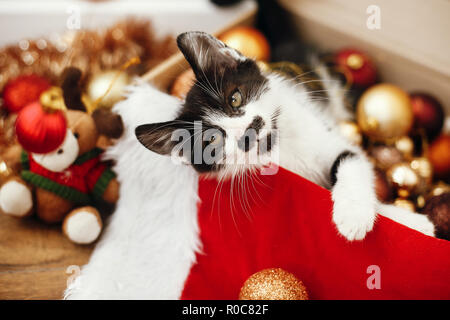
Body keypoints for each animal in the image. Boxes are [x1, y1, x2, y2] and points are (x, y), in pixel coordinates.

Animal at [135, 31, 434, 240]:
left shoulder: (328, 137)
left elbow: (351, 161)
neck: (279, 145)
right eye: (211, 141)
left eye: (235, 98)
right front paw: (412, 221)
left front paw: (356, 215)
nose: (249, 129)